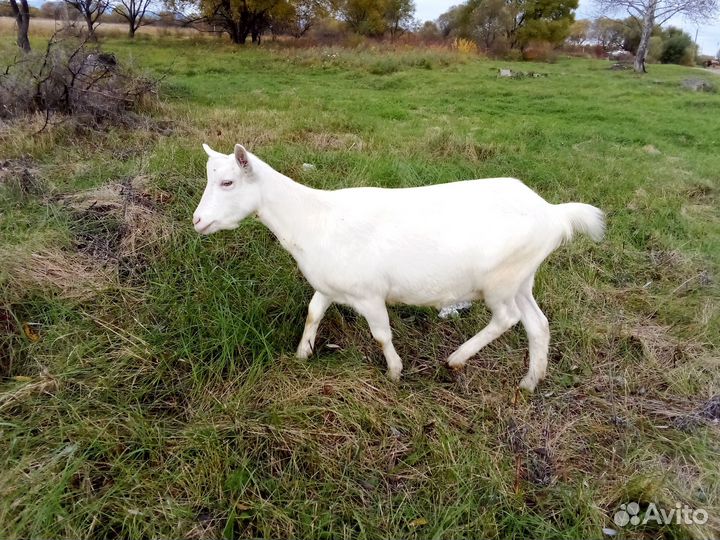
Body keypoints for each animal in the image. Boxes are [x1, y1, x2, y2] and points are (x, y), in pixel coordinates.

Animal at [193, 144, 605, 391]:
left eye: (227, 182)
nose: (197, 221)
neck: (313, 218)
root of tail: (553, 213)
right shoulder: (329, 285)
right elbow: (313, 312)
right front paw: (302, 354)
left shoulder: (368, 293)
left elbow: (381, 334)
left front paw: (393, 371)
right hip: (522, 277)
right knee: (537, 323)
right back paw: (530, 381)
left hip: (500, 280)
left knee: (507, 318)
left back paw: (457, 359)